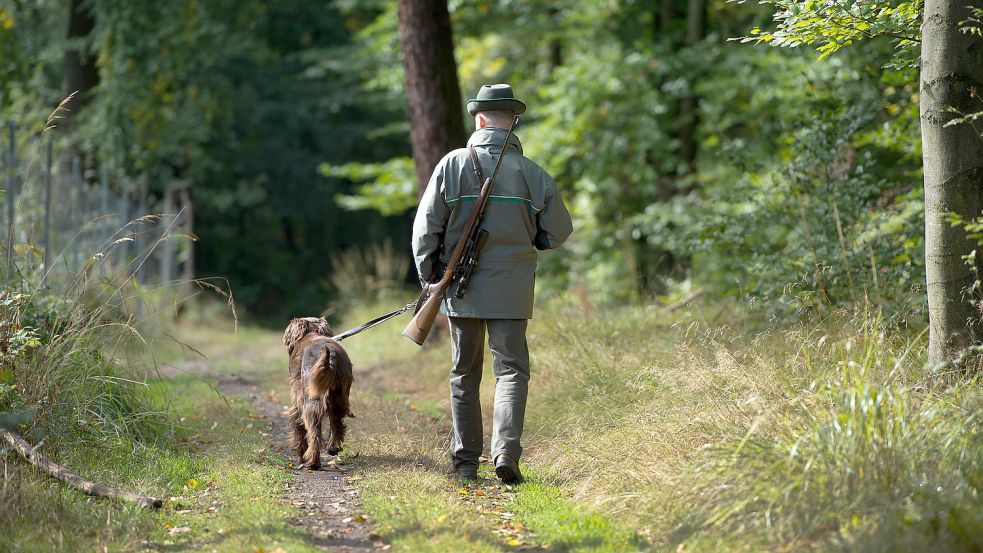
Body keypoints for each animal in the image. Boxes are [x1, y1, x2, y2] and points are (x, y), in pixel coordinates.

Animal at [280, 316, 354, 468]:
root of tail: (330, 358)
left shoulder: (297, 400)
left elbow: (298, 427)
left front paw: (300, 453)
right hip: (339, 396)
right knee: (336, 423)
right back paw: (333, 448)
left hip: (312, 399)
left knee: (314, 432)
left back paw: (313, 462)